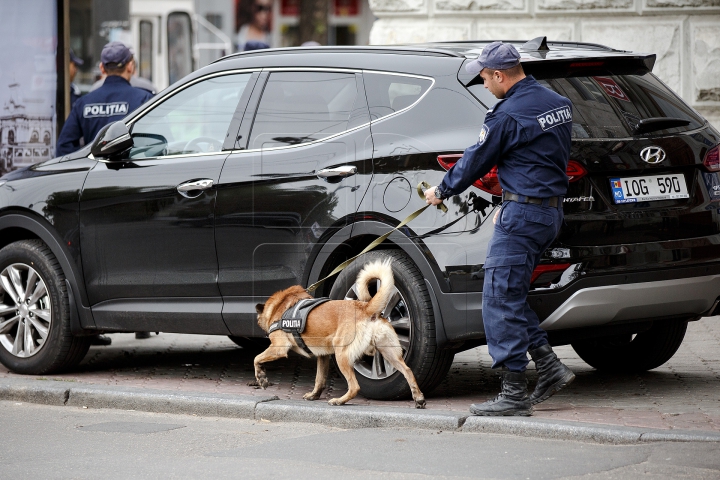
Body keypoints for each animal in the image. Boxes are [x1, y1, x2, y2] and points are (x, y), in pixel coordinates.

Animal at [252, 260, 424, 406]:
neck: (280, 305)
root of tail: (366, 308)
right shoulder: (323, 357)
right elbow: (320, 380)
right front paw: (314, 395)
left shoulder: (278, 348)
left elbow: (256, 358)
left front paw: (261, 378)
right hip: (389, 353)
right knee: (408, 371)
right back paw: (419, 398)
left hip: (342, 354)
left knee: (354, 387)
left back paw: (339, 401)